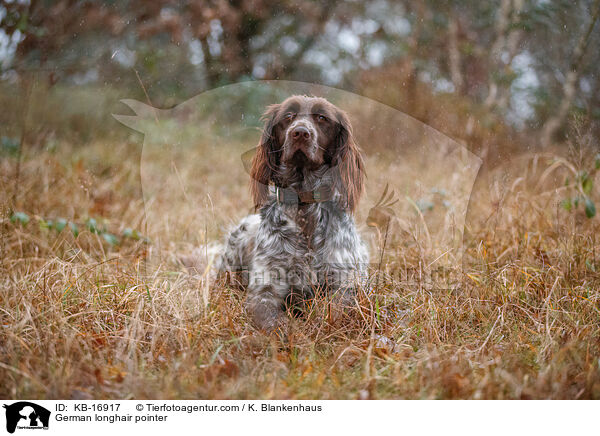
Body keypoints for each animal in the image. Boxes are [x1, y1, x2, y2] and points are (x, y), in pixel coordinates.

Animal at [213, 95, 368, 332]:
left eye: (322, 117)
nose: (300, 132)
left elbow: (336, 310)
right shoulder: (265, 288)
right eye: (288, 116)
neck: (304, 207)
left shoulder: (345, 284)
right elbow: (273, 320)